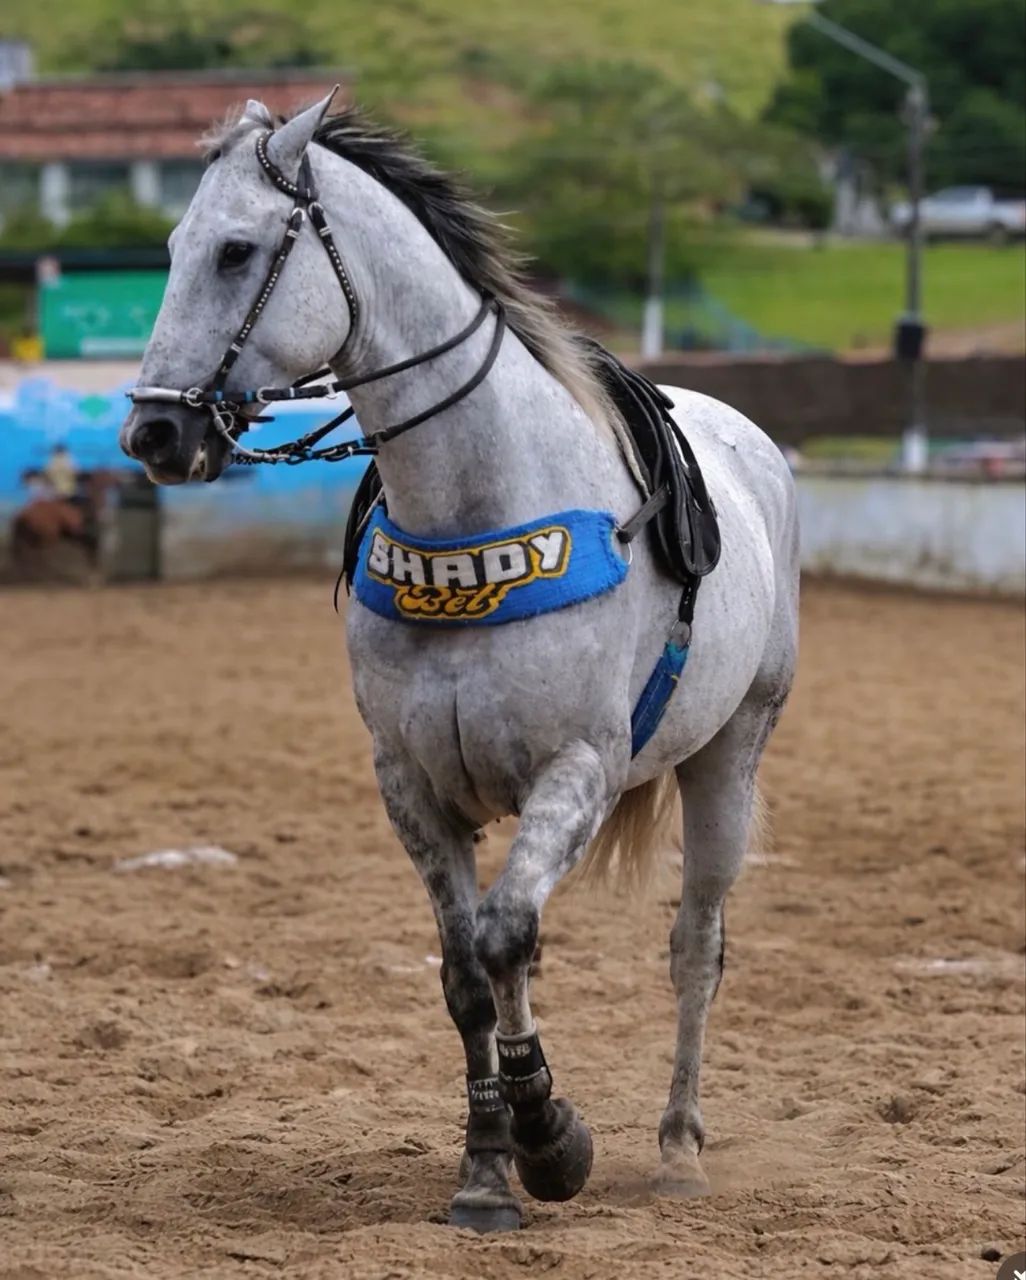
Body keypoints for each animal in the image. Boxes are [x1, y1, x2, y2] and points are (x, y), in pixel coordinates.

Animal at [120, 91, 799, 1233]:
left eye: (235, 249)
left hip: (731, 758)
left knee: (695, 949)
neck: (480, 509)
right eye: (171, 248)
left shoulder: (574, 771)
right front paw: (486, 1170)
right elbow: (468, 971)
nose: (153, 431)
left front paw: (552, 1138)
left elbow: (509, 934)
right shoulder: (414, 786)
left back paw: (678, 1148)